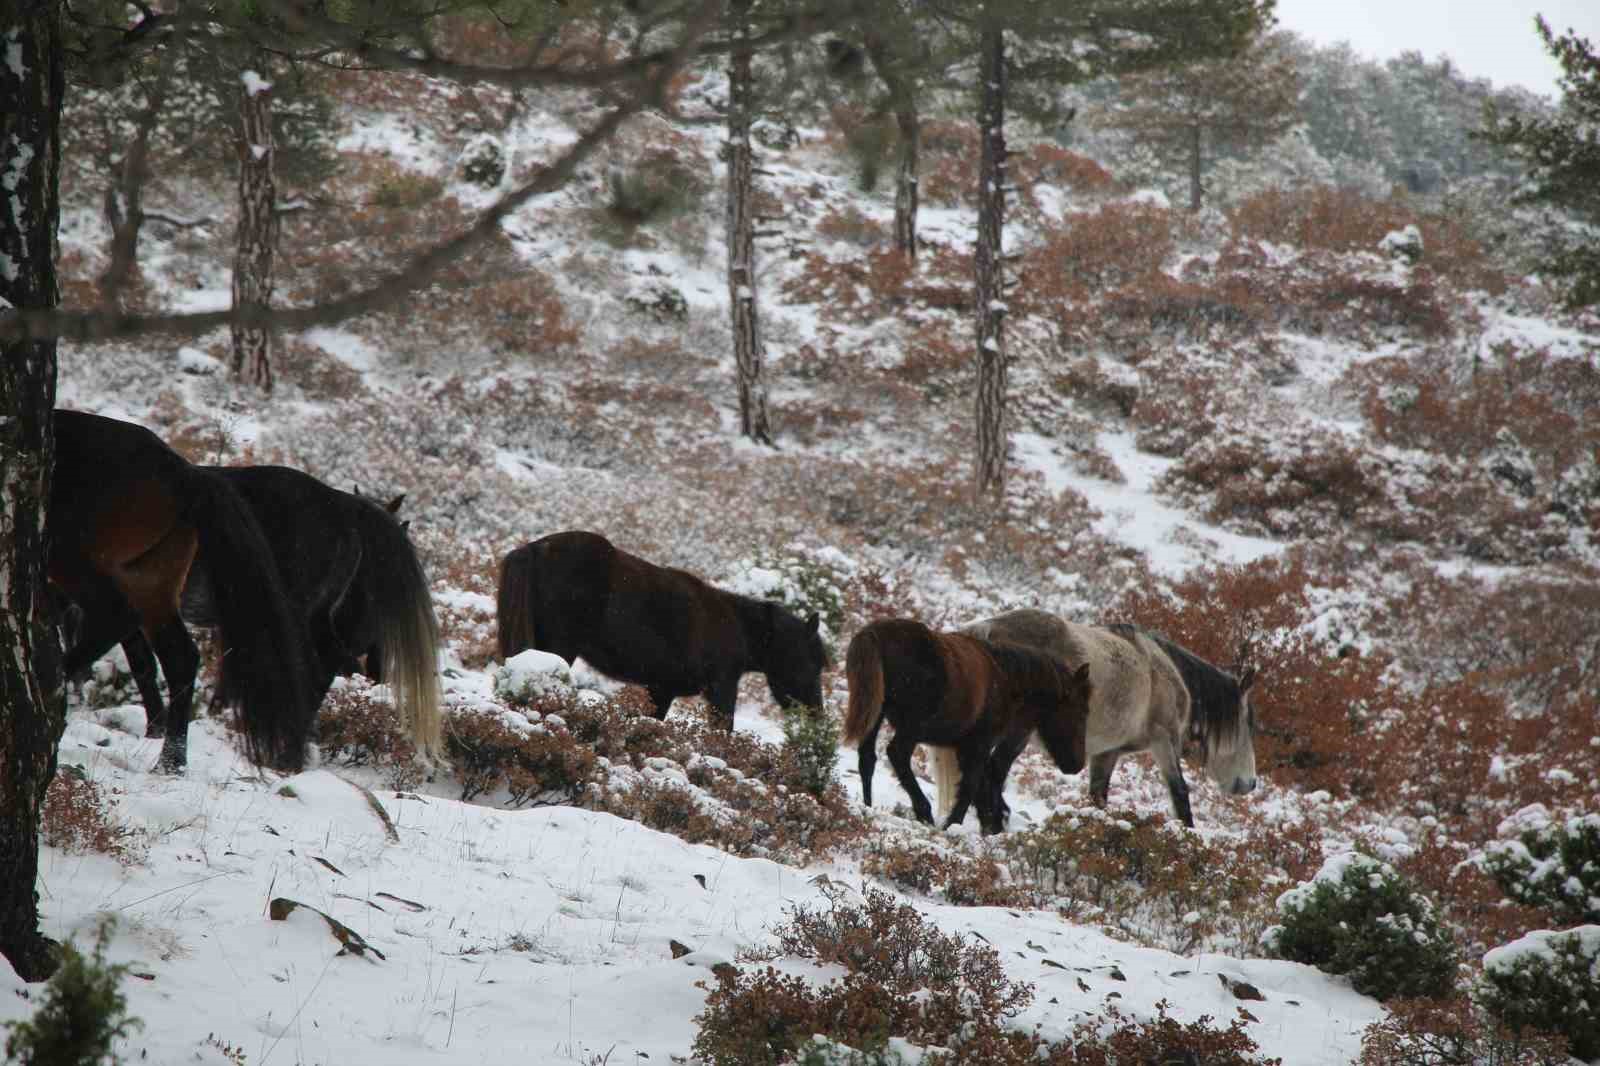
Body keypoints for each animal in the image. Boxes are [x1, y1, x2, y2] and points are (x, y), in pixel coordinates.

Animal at [50, 408, 318, 771]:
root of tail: (186, 475)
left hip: (76, 558)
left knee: (119, 617)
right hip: (151, 579)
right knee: (178, 656)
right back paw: (171, 761)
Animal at [496, 528, 825, 726]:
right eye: (812, 662)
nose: (817, 714)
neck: (737, 626)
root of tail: (534, 548)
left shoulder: (662, 689)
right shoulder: (721, 688)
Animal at [844, 617, 1094, 832]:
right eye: (1081, 711)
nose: (1076, 764)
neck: (1007, 678)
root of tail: (875, 634)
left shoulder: (964, 747)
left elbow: (978, 786)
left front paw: (990, 823)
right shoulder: (979, 744)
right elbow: (971, 786)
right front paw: (954, 825)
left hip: (877, 713)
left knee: (867, 758)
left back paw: (868, 806)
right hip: (912, 726)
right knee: (897, 754)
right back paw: (924, 812)